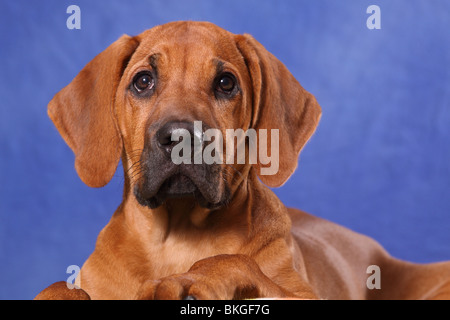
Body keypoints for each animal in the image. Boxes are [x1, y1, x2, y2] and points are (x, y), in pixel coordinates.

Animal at [36, 21, 450, 298]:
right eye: (143, 81)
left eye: (225, 83)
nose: (181, 138)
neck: (175, 239)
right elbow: (56, 286)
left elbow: (235, 260)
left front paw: (193, 278)